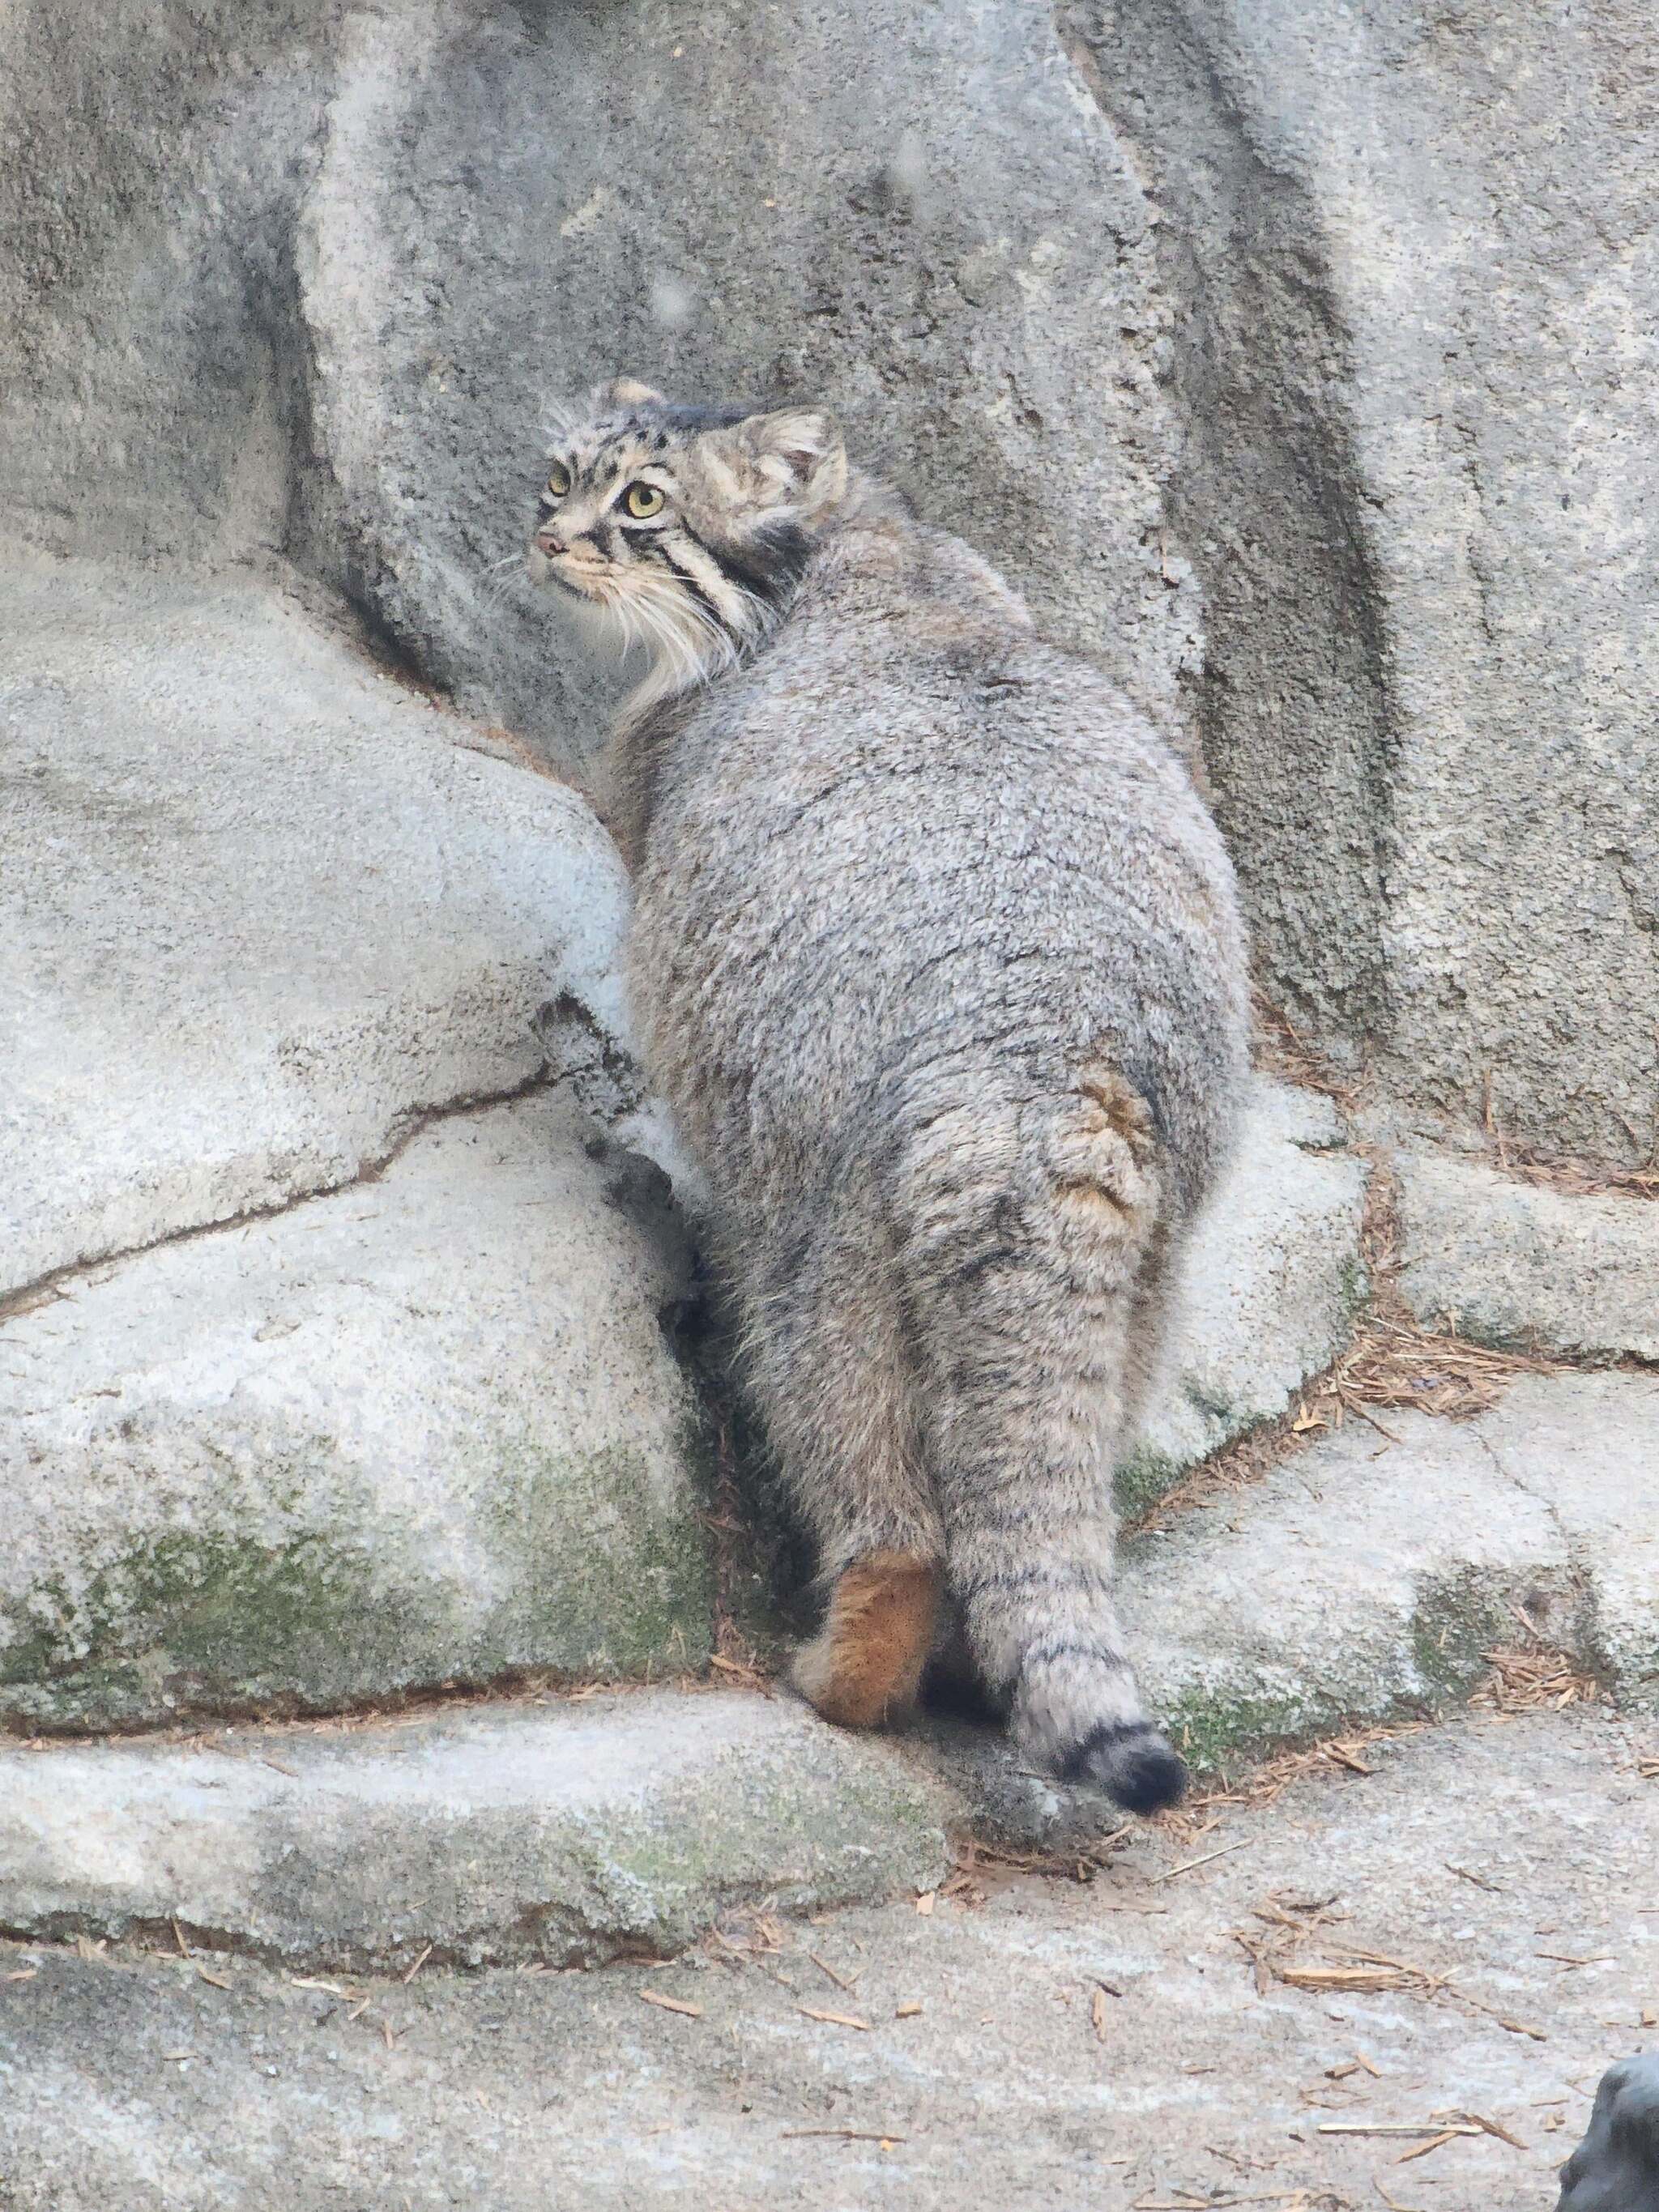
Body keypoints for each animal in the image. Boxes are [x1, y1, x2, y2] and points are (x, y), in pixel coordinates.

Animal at [533, 385, 1247, 1813]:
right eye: (557, 475)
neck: (856, 547)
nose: (548, 535)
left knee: (880, 1486)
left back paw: (846, 1672)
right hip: (1150, 1253)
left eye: (639, 502)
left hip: (827, 1244)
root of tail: (1043, 1054)